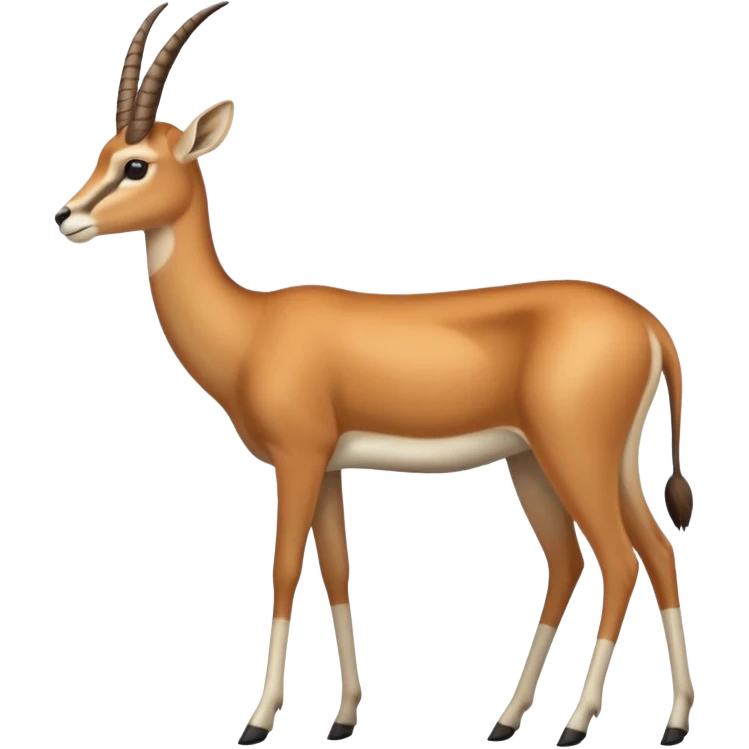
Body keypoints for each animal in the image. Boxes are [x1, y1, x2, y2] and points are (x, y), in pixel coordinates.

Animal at [54, 2, 695, 746]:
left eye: (136, 164)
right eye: (103, 152)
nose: (66, 215)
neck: (253, 328)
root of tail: (650, 325)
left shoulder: (298, 459)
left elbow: (283, 571)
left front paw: (258, 720)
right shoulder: (331, 467)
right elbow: (337, 572)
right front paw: (340, 718)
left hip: (574, 456)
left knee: (618, 560)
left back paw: (575, 722)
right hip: (557, 461)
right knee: (631, 555)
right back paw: (589, 721)